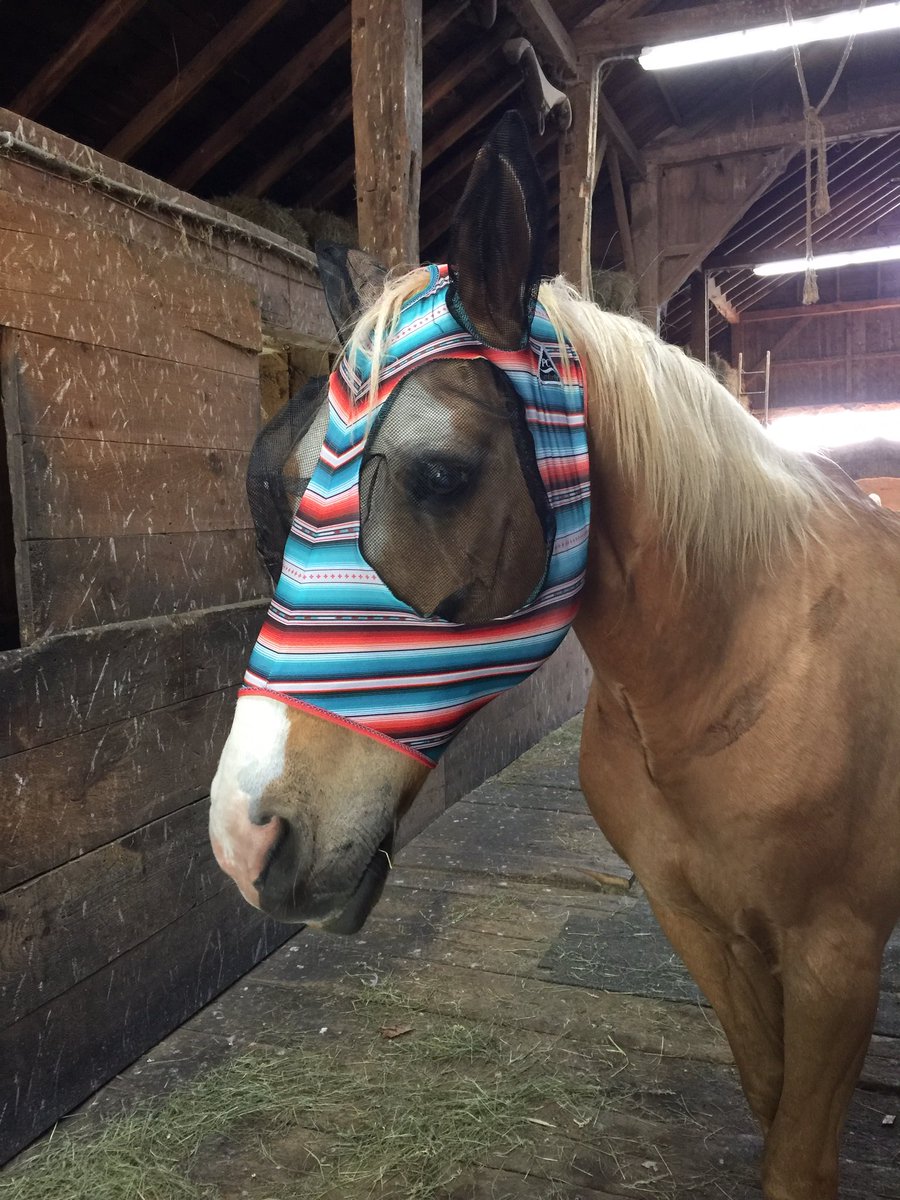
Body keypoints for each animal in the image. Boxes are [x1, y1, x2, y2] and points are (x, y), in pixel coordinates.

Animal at [209, 112, 900, 1199]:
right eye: (283, 478)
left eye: (440, 474)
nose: (245, 838)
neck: (733, 678)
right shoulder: (697, 920)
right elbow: (769, 1094)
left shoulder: (836, 953)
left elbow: (799, 1154)